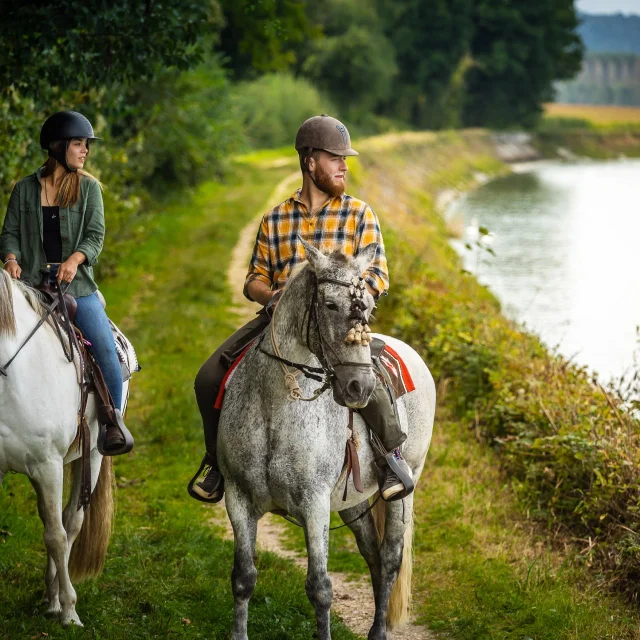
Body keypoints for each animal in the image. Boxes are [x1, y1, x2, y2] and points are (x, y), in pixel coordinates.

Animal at [0, 270, 116, 624]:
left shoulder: (47, 465)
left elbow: (56, 535)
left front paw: (69, 610)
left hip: (91, 455)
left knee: (70, 523)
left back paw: (56, 599)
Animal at [219, 241, 436, 640]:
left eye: (369, 307)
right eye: (331, 305)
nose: (360, 387)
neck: (276, 406)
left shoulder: (314, 502)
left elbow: (319, 588)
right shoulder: (237, 495)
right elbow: (243, 577)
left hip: (405, 487)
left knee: (390, 557)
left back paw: (378, 631)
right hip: (354, 501)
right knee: (372, 554)